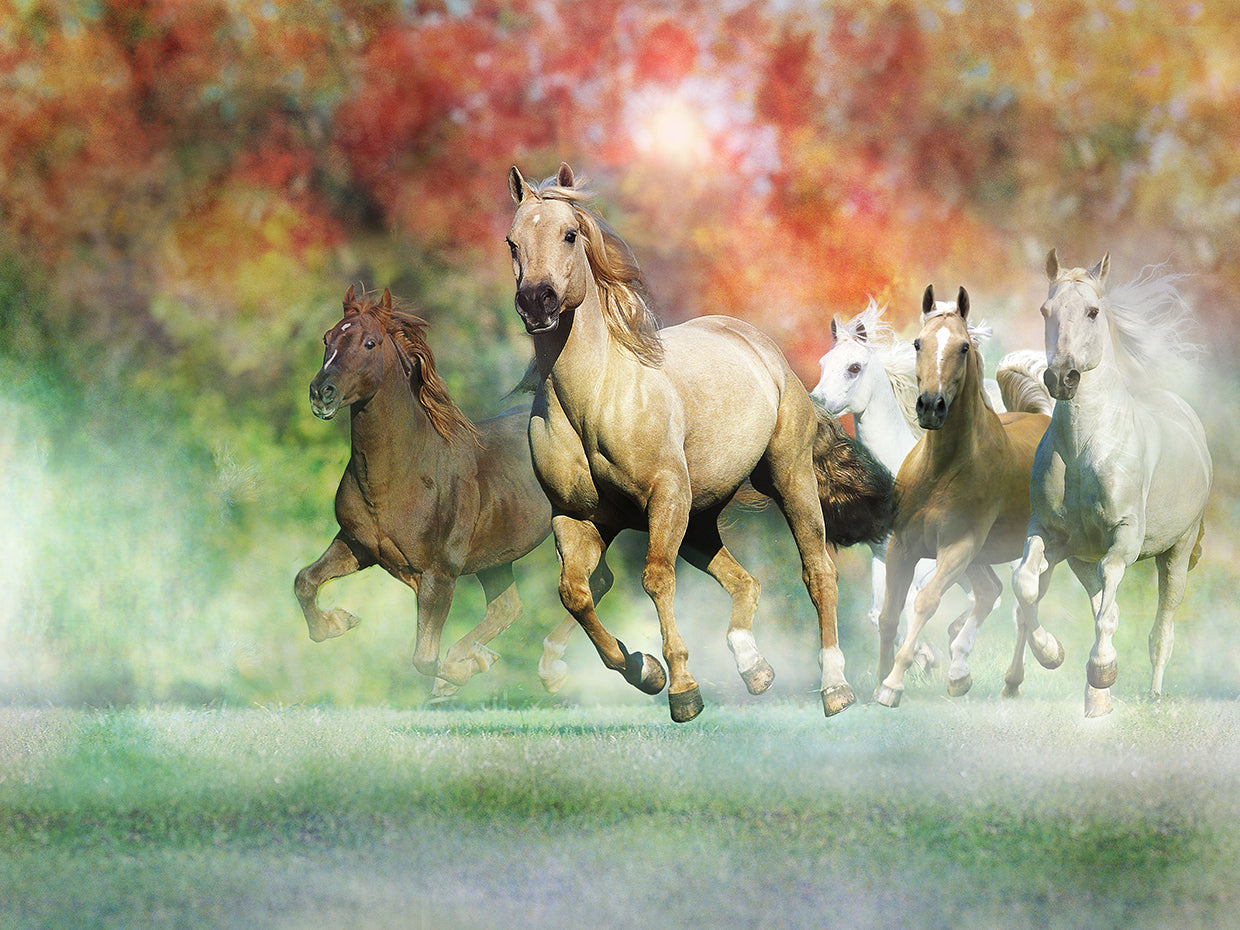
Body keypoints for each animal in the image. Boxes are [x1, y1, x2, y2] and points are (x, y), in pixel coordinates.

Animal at [293, 285, 603, 698]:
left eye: (370, 342)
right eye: (327, 339)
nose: (321, 393)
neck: (401, 475)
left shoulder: (438, 574)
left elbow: (424, 659)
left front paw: (464, 670)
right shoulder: (356, 545)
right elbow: (305, 581)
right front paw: (338, 622)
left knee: (592, 584)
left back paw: (551, 668)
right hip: (496, 558)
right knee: (508, 607)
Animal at [506, 162, 894, 722]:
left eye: (569, 234)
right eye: (512, 241)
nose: (537, 302)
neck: (596, 398)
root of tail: (765, 351)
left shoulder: (665, 497)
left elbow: (654, 580)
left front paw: (683, 689)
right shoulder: (575, 517)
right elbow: (575, 593)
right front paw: (644, 669)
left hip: (788, 479)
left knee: (818, 572)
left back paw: (834, 688)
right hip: (701, 517)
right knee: (744, 581)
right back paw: (754, 668)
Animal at [873, 286, 1051, 707]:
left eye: (964, 347)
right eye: (918, 343)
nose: (930, 406)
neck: (940, 470)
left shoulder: (958, 546)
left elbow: (925, 601)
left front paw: (893, 684)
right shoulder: (902, 546)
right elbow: (889, 614)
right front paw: (877, 679)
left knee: (1025, 602)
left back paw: (1026, 669)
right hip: (981, 558)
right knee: (992, 592)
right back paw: (960, 675)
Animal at [1010, 251, 1212, 716]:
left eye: (1092, 311)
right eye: (1045, 310)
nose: (1061, 377)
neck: (1084, 448)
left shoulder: (1124, 539)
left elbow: (1111, 603)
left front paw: (1103, 669)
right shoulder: (1048, 534)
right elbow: (1026, 583)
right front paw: (1052, 654)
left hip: (1176, 552)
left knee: (1161, 629)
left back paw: (1151, 694)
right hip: (1081, 559)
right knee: (1101, 600)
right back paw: (1095, 699)